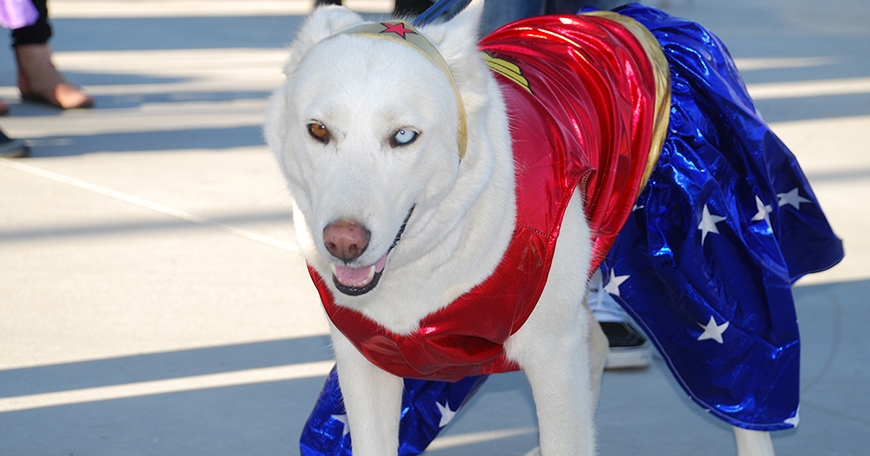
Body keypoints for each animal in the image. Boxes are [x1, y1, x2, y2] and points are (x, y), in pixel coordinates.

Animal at [268, 1, 792, 454]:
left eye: (403, 136)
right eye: (318, 131)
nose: (343, 243)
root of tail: (636, 17)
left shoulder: (553, 356)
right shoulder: (365, 363)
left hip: (701, 282)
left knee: (748, 397)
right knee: (598, 345)